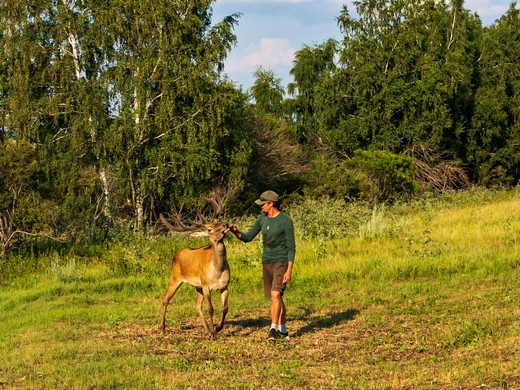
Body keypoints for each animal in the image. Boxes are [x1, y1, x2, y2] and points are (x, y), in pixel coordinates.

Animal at [159, 193, 231, 340]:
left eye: (218, 221)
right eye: (209, 229)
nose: (226, 224)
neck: (218, 271)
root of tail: (177, 254)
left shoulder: (225, 285)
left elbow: (225, 308)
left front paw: (217, 327)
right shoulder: (206, 285)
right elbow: (210, 309)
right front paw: (214, 333)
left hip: (197, 286)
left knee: (197, 305)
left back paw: (207, 330)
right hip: (175, 278)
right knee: (165, 299)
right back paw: (162, 328)